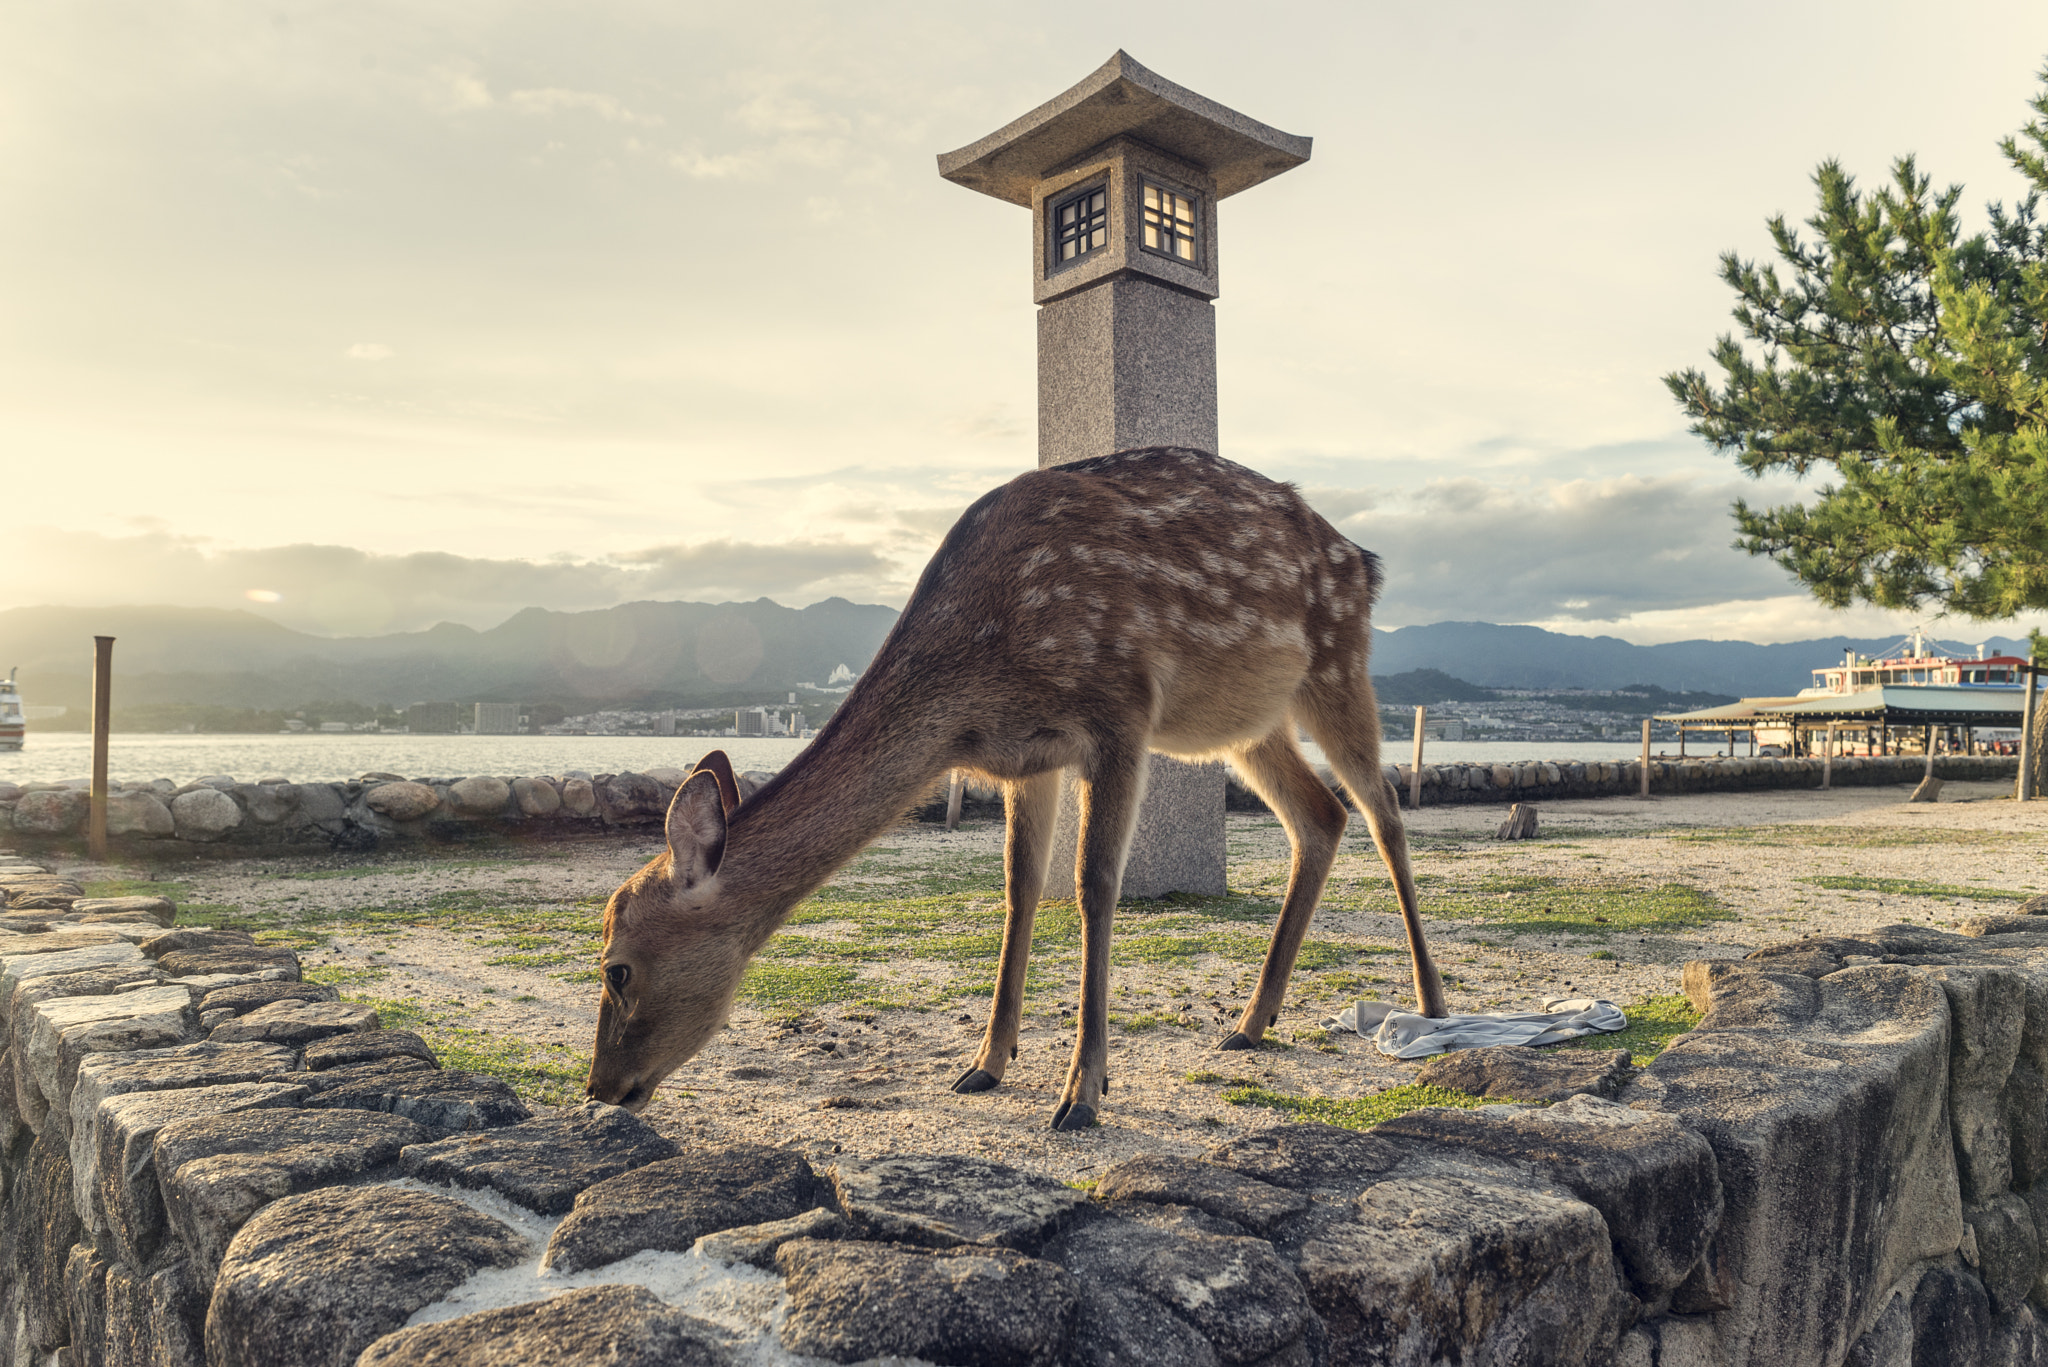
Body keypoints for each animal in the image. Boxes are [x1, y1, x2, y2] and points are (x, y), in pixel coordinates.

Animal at [585, 448, 1449, 1131]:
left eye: (616, 967)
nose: (600, 1087)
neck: (977, 679)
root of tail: (1362, 559)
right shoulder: (1027, 757)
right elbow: (1019, 887)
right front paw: (985, 1061)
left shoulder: (1120, 709)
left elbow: (1094, 884)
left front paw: (1083, 1092)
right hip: (1246, 720)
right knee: (1321, 814)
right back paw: (1251, 1020)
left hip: (1336, 663)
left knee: (1383, 813)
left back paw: (1433, 1006)